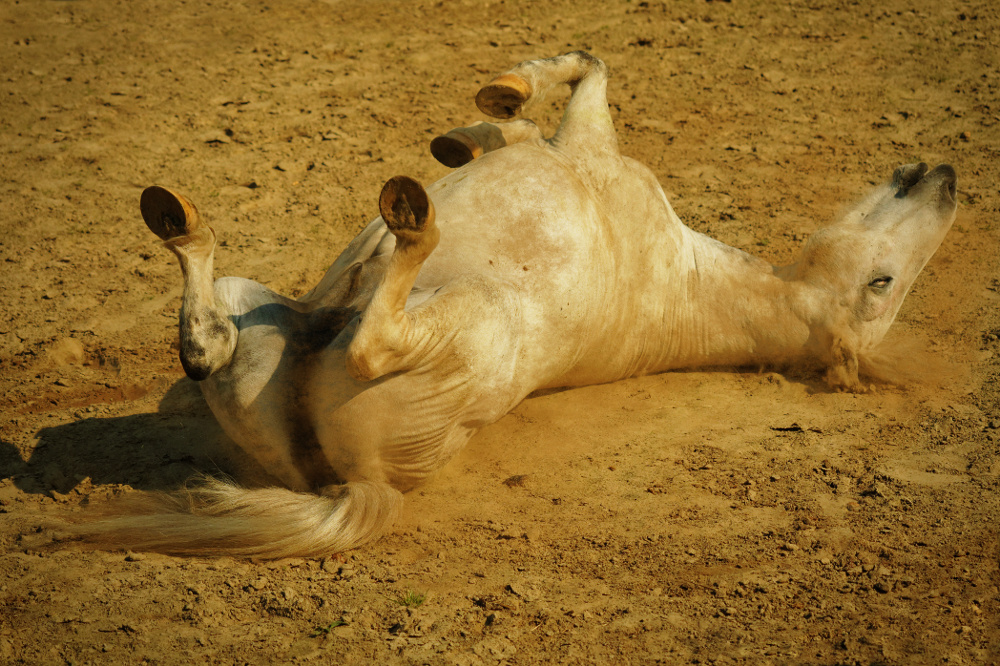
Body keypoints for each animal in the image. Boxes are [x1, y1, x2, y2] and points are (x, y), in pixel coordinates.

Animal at [82, 52, 956, 556]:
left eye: (881, 283)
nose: (944, 176)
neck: (685, 278)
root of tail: (364, 484)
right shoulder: (566, 146)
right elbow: (521, 118)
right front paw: (466, 131)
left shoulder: (588, 141)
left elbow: (580, 72)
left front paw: (496, 98)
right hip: (258, 319)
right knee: (206, 344)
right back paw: (180, 219)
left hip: (463, 323)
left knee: (352, 339)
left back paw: (406, 217)